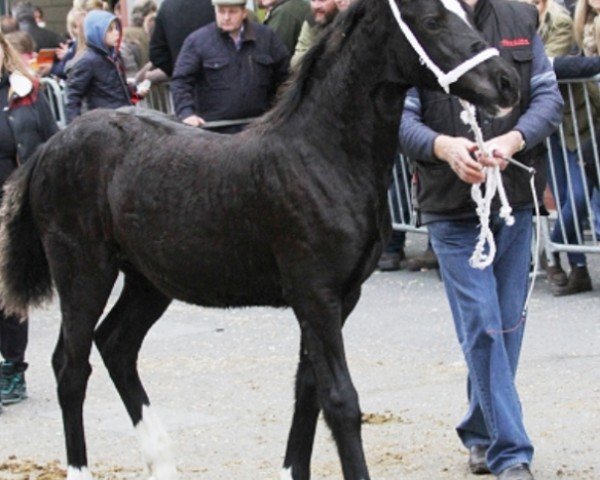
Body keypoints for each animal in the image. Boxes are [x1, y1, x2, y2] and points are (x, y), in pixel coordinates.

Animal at [0, 0, 516, 480]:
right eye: (431, 20)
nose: (507, 81)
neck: (322, 156)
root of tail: (50, 147)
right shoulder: (315, 295)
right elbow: (340, 400)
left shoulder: (342, 297)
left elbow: (308, 391)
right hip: (83, 272)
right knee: (71, 365)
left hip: (149, 282)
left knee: (116, 346)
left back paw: (162, 461)